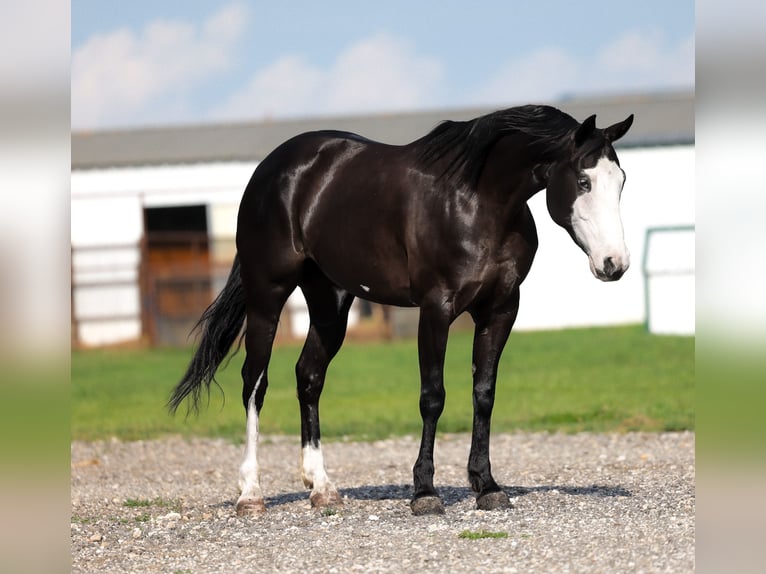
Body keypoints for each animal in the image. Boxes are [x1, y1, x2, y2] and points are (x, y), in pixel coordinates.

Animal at [169, 104, 634, 516]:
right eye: (583, 180)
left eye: (621, 181)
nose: (615, 264)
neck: (477, 202)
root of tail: (273, 168)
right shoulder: (435, 309)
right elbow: (433, 397)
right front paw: (425, 493)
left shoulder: (500, 310)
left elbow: (484, 395)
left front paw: (487, 486)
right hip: (267, 294)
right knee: (255, 382)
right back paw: (250, 494)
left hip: (330, 302)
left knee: (309, 377)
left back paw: (322, 488)